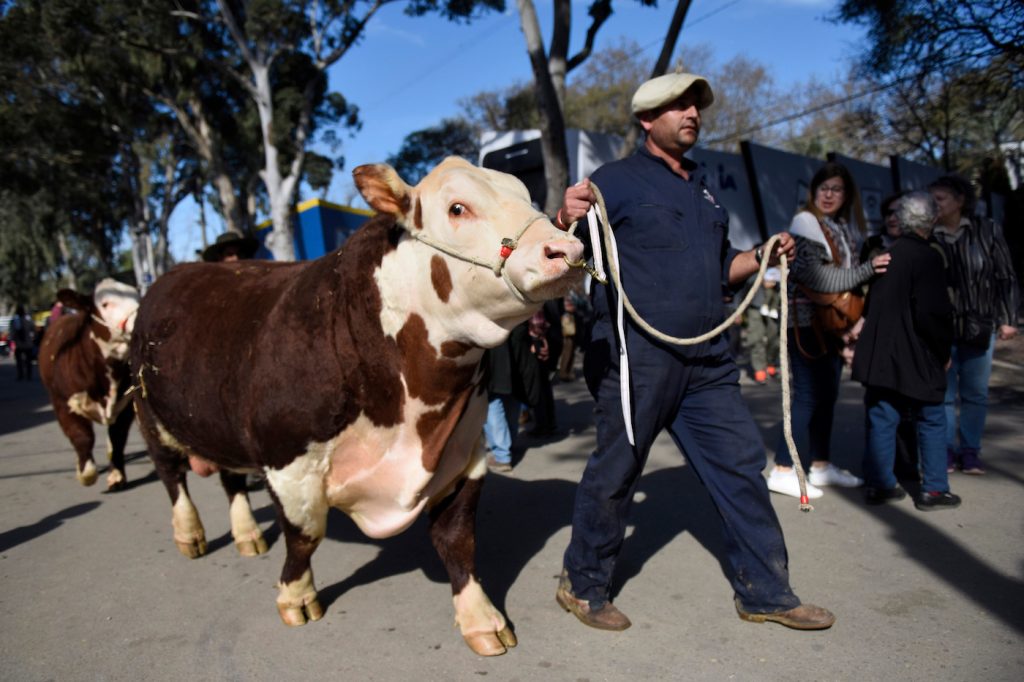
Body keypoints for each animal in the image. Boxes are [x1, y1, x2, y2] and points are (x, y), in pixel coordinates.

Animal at [38, 278, 140, 489]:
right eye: (105, 304)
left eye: (137, 295)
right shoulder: (63, 403)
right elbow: (82, 438)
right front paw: (85, 472)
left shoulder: (126, 404)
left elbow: (117, 437)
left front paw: (116, 474)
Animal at [130, 157, 585, 655]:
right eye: (457, 207)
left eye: (526, 194)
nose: (565, 248)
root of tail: (171, 277)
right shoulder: (288, 463)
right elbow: (304, 536)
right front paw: (296, 597)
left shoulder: (463, 454)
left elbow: (458, 539)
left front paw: (480, 618)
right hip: (149, 415)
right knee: (173, 478)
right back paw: (189, 533)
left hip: (217, 422)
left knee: (230, 478)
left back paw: (247, 534)